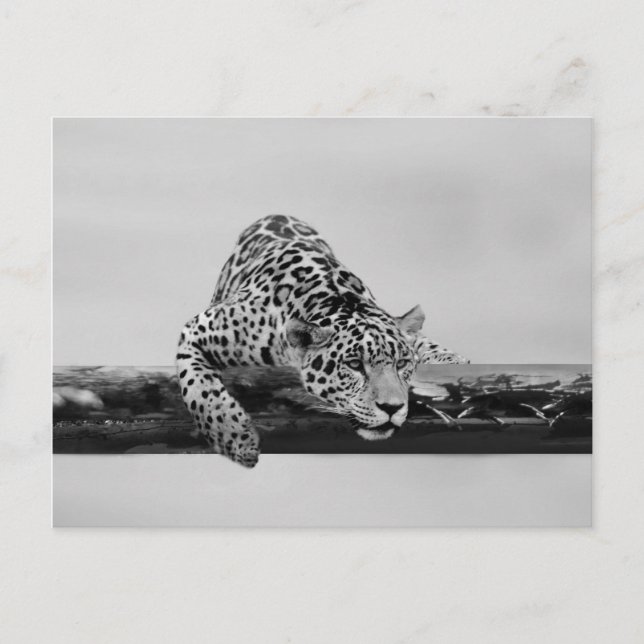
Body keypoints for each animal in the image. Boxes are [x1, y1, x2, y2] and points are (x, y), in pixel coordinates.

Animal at [177, 215, 467, 467]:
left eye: (402, 363)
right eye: (354, 364)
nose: (392, 407)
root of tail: (277, 214)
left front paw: (452, 363)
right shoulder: (197, 330)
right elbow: (201, 389)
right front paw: (235, 438)